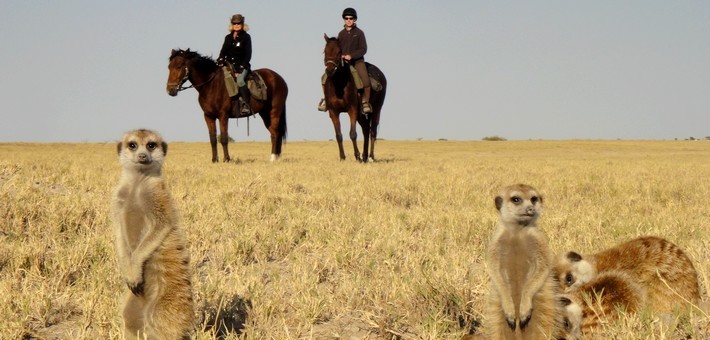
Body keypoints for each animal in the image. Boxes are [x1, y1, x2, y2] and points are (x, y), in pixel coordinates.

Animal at [324, 34, 390, 162]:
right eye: (325, 51)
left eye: (339, 52)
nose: (329, 70)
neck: (339, 85)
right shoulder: (334, 112)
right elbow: (338, 135)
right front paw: (342, 157)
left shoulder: (352, 110)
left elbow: (353, 134)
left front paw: (357, 156)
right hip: (361, 115)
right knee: (366, 130)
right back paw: (365, 157)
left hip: (376, 110)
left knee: (372, 132)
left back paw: (370, 157)